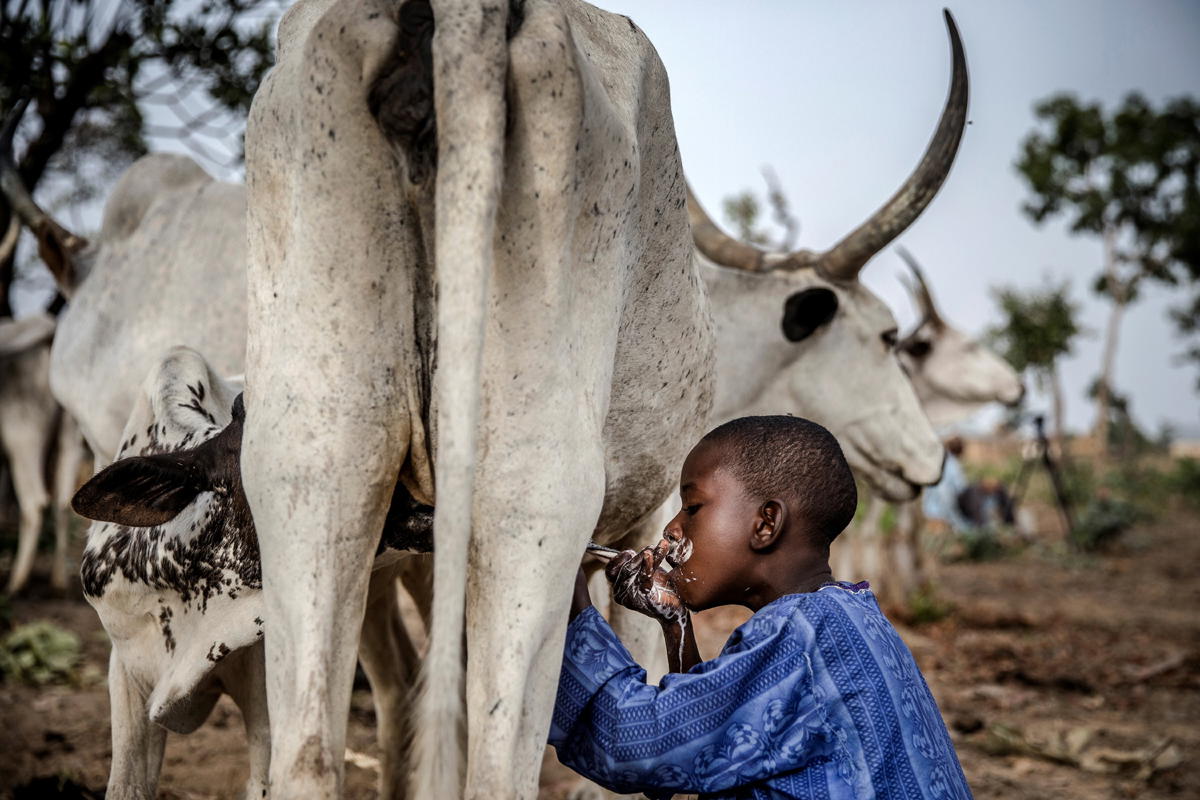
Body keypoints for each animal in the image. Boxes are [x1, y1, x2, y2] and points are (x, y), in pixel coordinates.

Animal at [0, 311, 88, 594]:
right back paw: (58, 580)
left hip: (23, 439)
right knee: (63, 502)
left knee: (34, 502)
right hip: (69, 439)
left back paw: (16, 583)